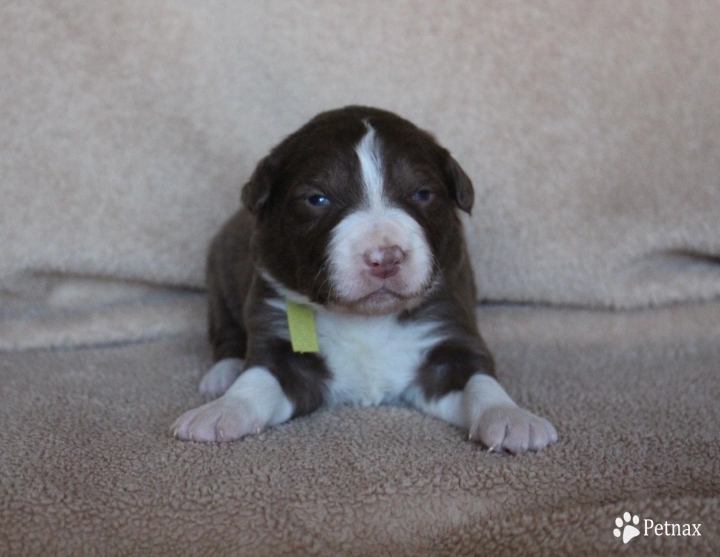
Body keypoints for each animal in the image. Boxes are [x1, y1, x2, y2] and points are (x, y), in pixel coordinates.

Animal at [173, 104, 556, 452]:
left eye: (422, 193)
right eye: (317, 198)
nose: (384, 258)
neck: (367, 320)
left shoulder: (448, 327)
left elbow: (479, 379)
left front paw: (511, 418)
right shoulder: (277, 329)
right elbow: (258, 378)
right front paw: (222, 412)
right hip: (219, 275)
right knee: (227, 332)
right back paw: (223, 375)